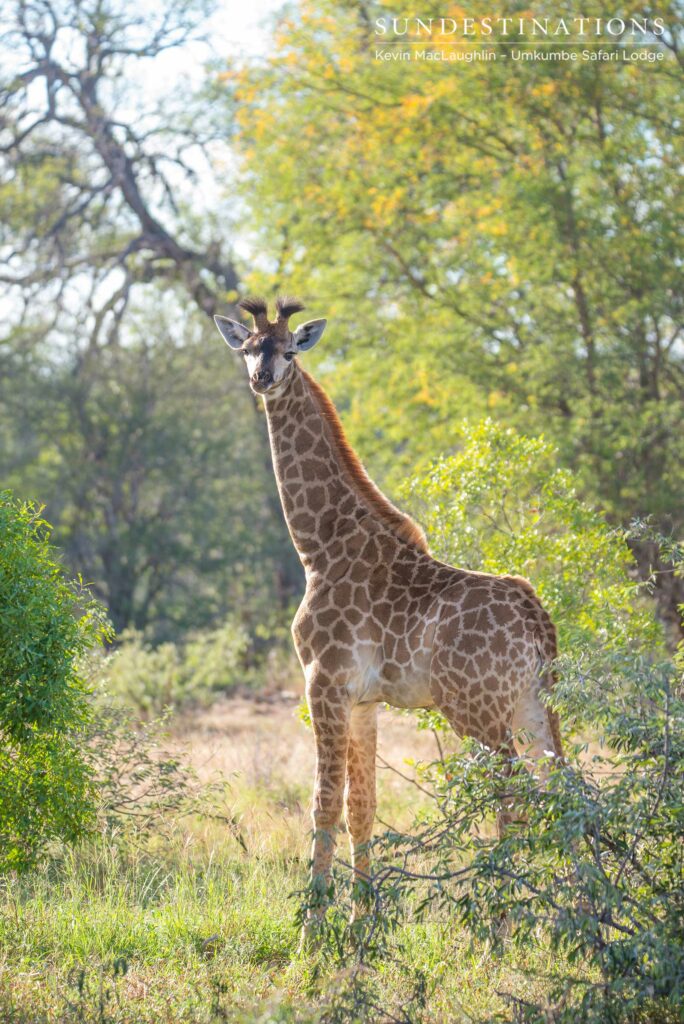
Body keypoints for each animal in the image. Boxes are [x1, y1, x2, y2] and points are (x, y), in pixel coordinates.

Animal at [214, 296, 563, 927]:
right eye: (249, 347)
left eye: (289, 350)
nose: (263, 379)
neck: (318, 545)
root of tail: (538, 619)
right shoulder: (363, 700)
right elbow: (363, 806)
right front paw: (360, 927)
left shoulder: (323, 682)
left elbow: (323, 803)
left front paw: (311, 932)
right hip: (532, 702)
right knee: (565, 787)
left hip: (478, 710)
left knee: (513, 793)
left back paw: (502, 924)